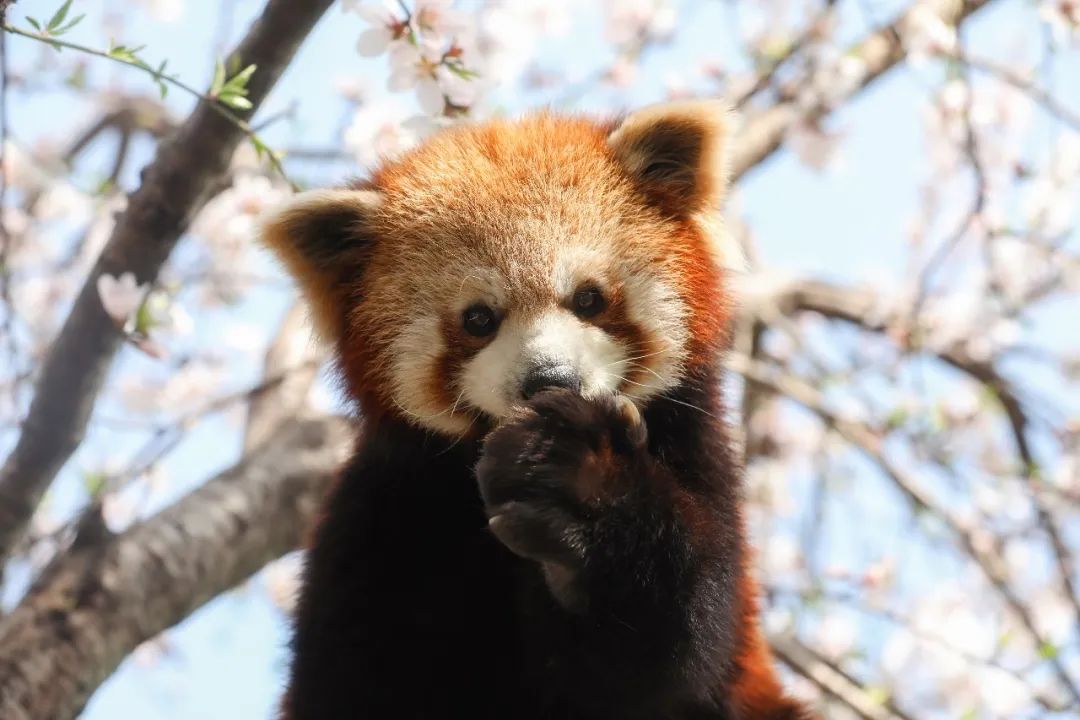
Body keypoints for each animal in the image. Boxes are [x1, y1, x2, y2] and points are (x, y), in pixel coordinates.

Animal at [259, 102, 803, 720]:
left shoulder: (696, 460)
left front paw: (581, 491)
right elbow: (352, 682)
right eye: (478, 319)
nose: (549, 380)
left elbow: (659, 661)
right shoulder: (386, 515)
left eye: (589, 298)